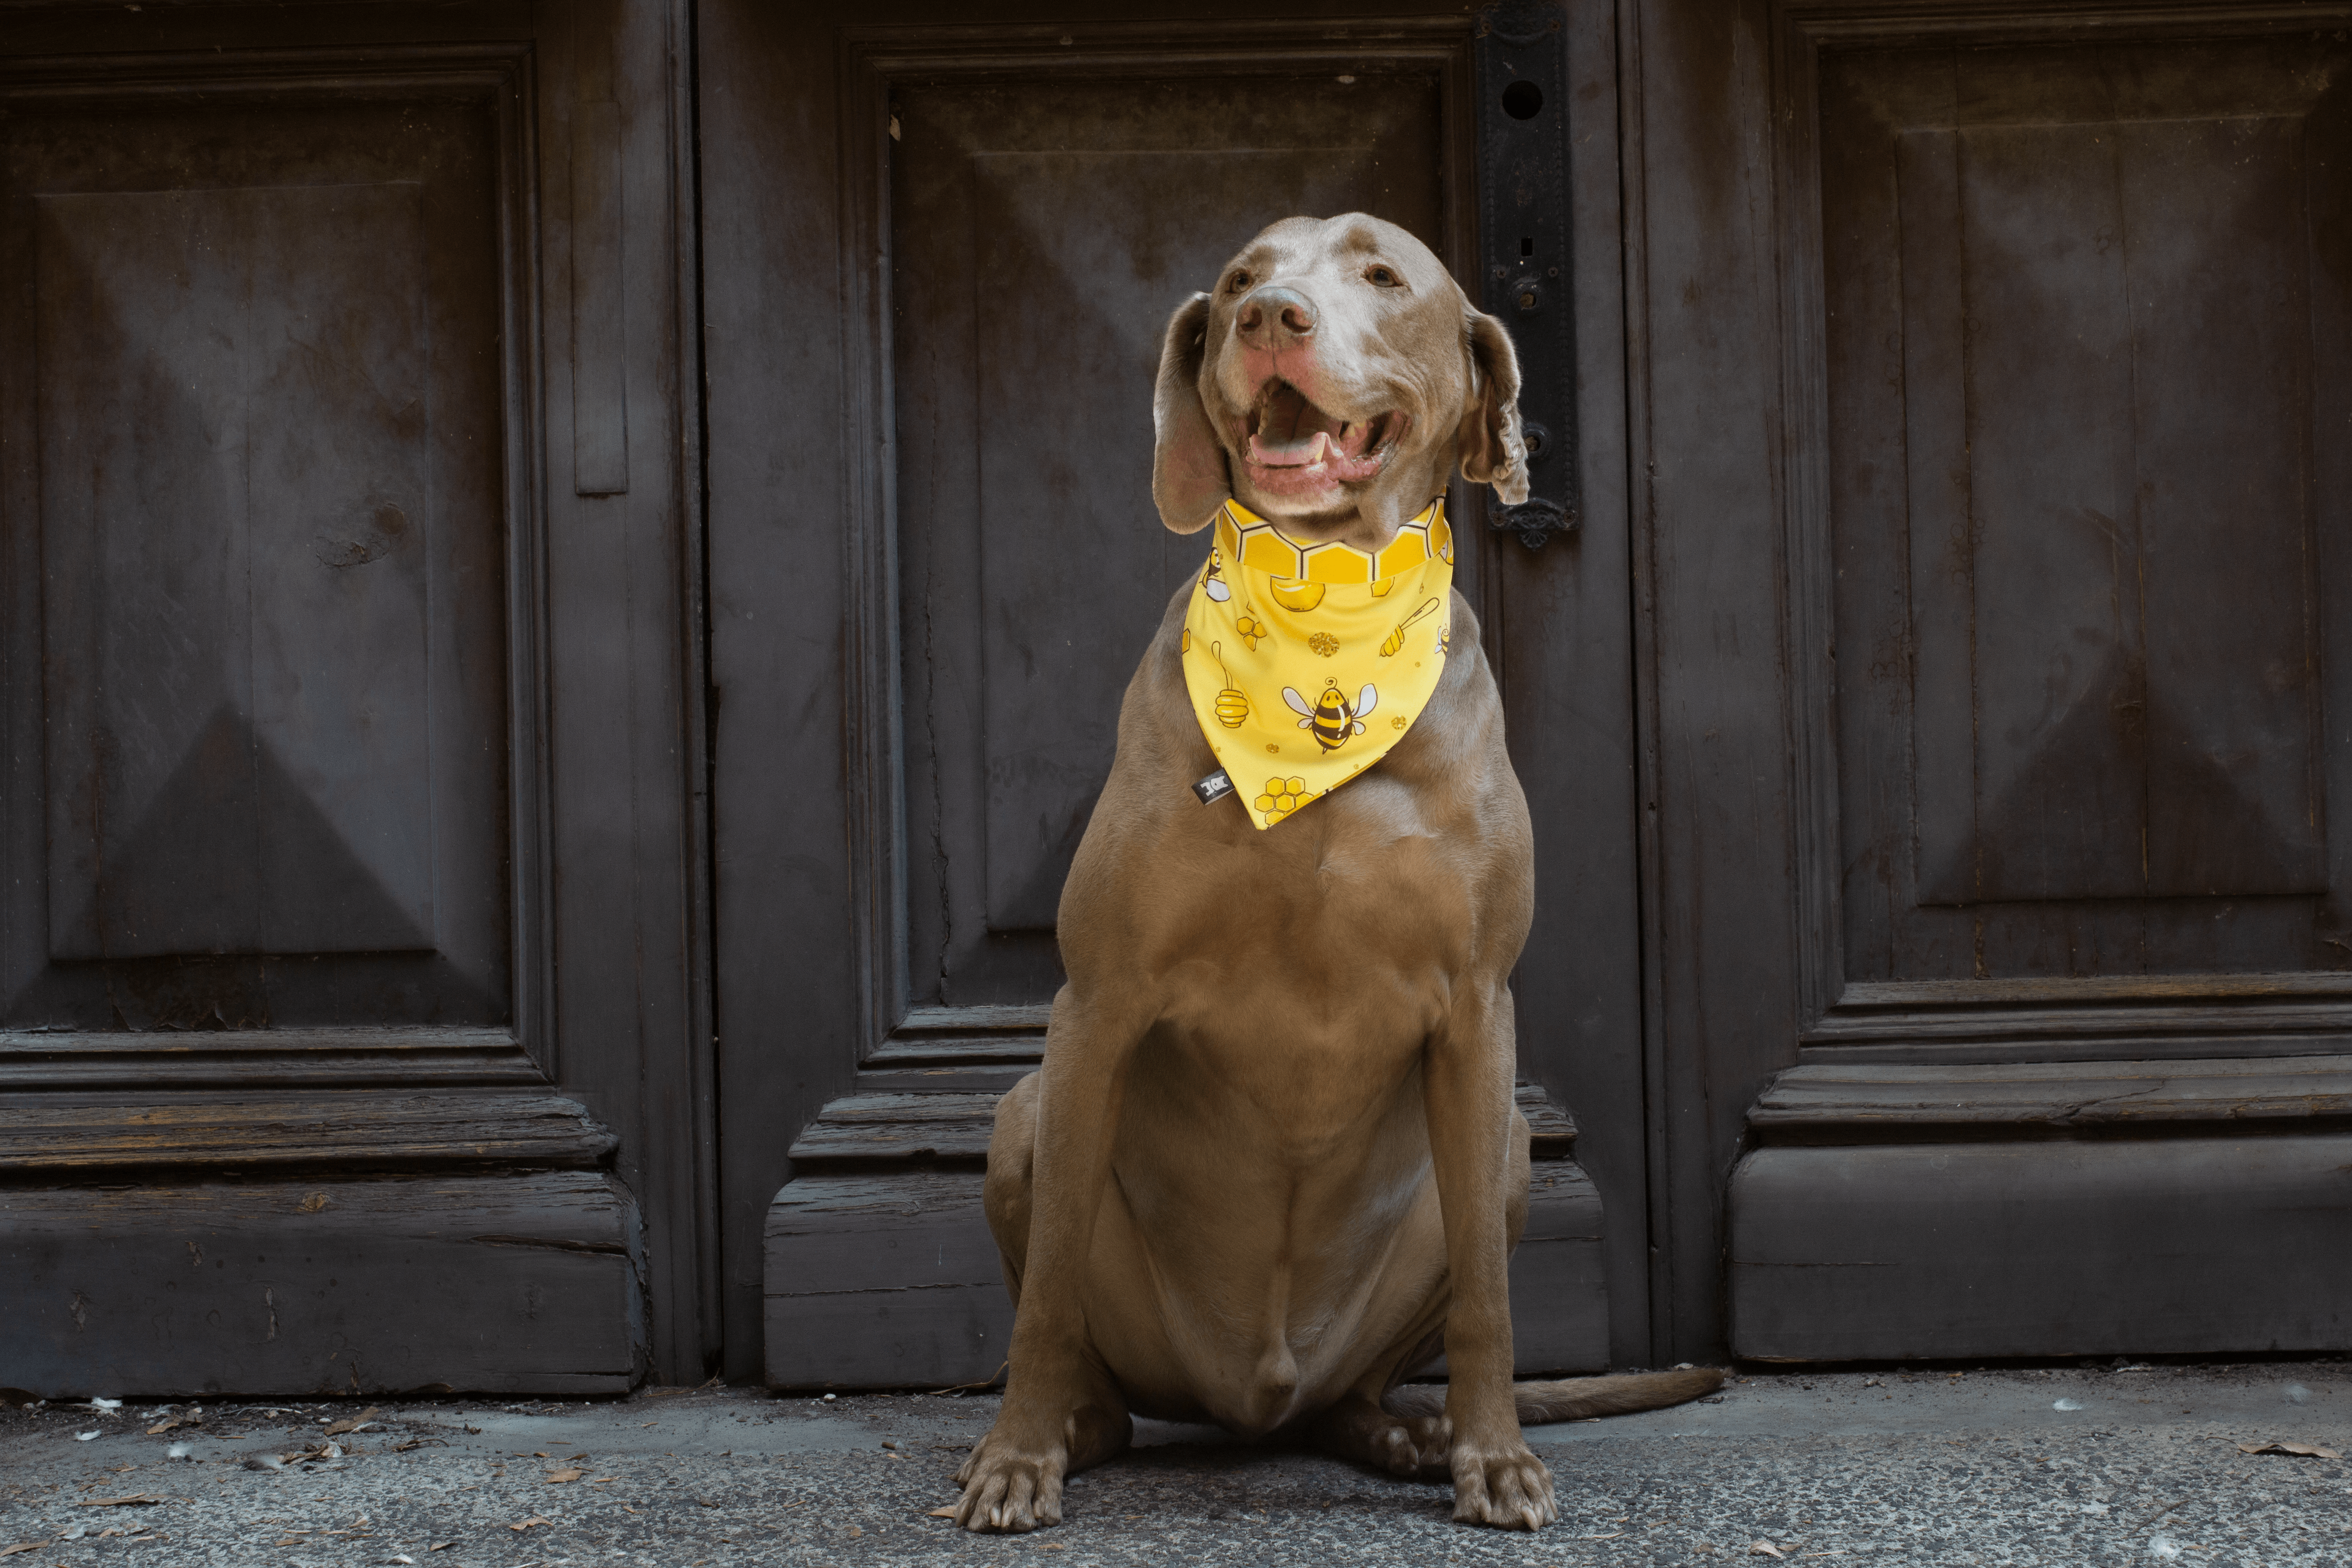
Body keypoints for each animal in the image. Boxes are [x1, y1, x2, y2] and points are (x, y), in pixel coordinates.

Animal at [945, 208, 1721, 1533]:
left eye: (1382, 276)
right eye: (1242, 280)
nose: (1271, 319)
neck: (1322, 632)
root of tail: (1258, 1396)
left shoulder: (1475, 1011)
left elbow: (1490, 1303)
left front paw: (1495, 1457)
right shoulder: (1094, 1005)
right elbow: (1043, 1292)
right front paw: (1014, 1458)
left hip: (1501, 1151)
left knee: (1381, 1366)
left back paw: (1408, 1432)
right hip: (1024, 1117)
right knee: (1101, 1368)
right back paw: (1079, 1430)